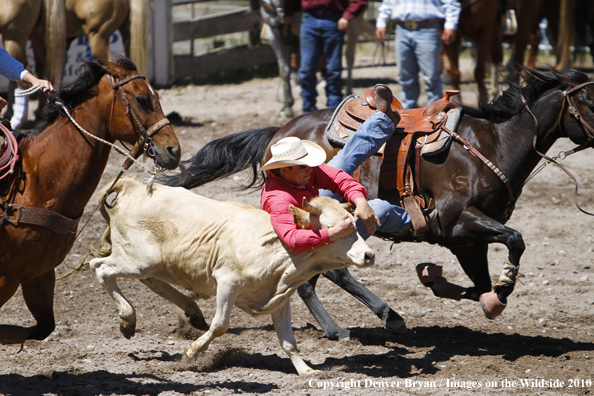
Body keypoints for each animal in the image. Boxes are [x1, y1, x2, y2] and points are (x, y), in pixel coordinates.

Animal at [0, 57, 180, 344]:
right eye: (142, 99)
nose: (174, 150)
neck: (32, 180)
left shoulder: (38, 274)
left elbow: (42, 327)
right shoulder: (6, 278)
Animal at [166, 66, 592, 338]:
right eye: (590, 100)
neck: (494, 144)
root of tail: (281, 131)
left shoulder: (466, 241)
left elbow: (481, 285)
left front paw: (440, 280)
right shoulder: (457, 222)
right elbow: (515, 241)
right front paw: (495, 290)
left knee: (315, 277)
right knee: (325, 274)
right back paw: (368, 321)